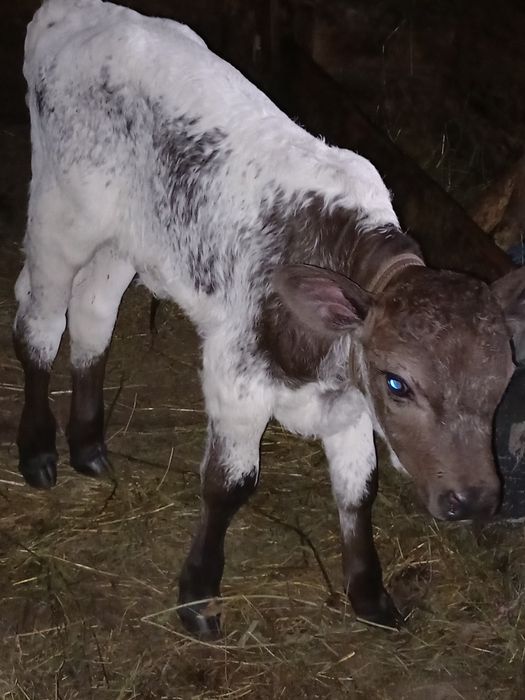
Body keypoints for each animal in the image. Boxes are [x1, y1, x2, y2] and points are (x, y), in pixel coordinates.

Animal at [15, 0, 525, 639]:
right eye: (398, 383)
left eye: (503, 382)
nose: (475, 502)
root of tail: (68, 12)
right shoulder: (234, 376)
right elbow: (230, 484)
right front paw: (198, 595)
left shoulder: (348, 402)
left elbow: (359, 491)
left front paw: (370, 595)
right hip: (59, 215)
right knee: (39, 322)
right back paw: (38, 451)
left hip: (127, 241)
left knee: (91, 313)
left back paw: (87, 445)